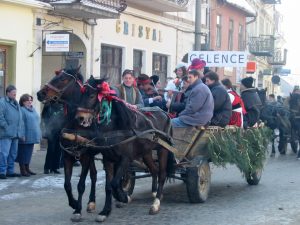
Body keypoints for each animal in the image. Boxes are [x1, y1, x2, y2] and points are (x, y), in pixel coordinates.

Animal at [72, 76, 175, 221]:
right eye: (81, 94)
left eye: (92, 95)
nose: (79, 117)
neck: (117, 127)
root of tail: (165, 113)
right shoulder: (108, 160)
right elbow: (108, 186)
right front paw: (105, 211)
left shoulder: (125, 159)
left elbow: (115, 183)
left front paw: (122, 197)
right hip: (146, 152)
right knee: (154, 170)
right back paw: (154, 192)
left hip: (162, 149)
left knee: (162, 174)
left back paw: (156, 203)